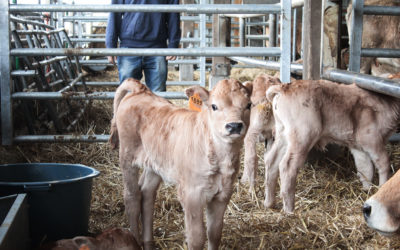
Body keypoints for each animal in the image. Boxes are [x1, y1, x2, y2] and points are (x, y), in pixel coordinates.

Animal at [108, 77, 253, 249]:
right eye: (214, 106)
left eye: (249, 104)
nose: (234, 125)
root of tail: (140, 90)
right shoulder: (191, 195)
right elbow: (196, 238)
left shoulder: (223, 194)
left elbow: (215, 233)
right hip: (127, 156)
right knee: (132, 197)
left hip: (155, 162)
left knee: (147, 193)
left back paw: (148, 242)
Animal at [264, 80, 398, 213]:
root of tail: (284, 87)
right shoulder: (372, 139)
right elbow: (384, 164)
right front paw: (382, 187)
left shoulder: (357, 146)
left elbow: (365, 169)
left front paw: (367, 190)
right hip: (303, 135)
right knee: (287, 166)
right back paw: (289, 210)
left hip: (283, 134)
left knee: (271, 160)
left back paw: (269, 202)